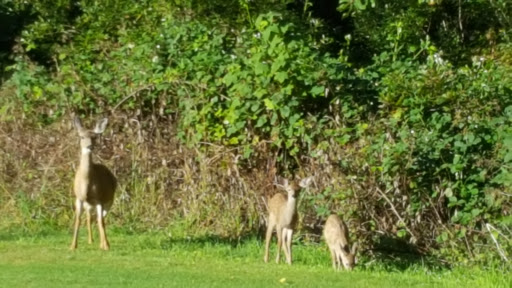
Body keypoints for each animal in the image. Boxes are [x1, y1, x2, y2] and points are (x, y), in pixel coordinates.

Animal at [70, 115, 117, 250]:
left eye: (94, 137)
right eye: (81, 137)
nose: (90, 146)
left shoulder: (99, 199)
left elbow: (101, 221)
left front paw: (106, 246)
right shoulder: (78, 198)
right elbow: (78, 220)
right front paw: (73, 246)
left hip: (109, 201)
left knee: (100, 219)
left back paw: (103, 243)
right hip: (89, 205)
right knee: (90, 217)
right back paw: (92, 241)